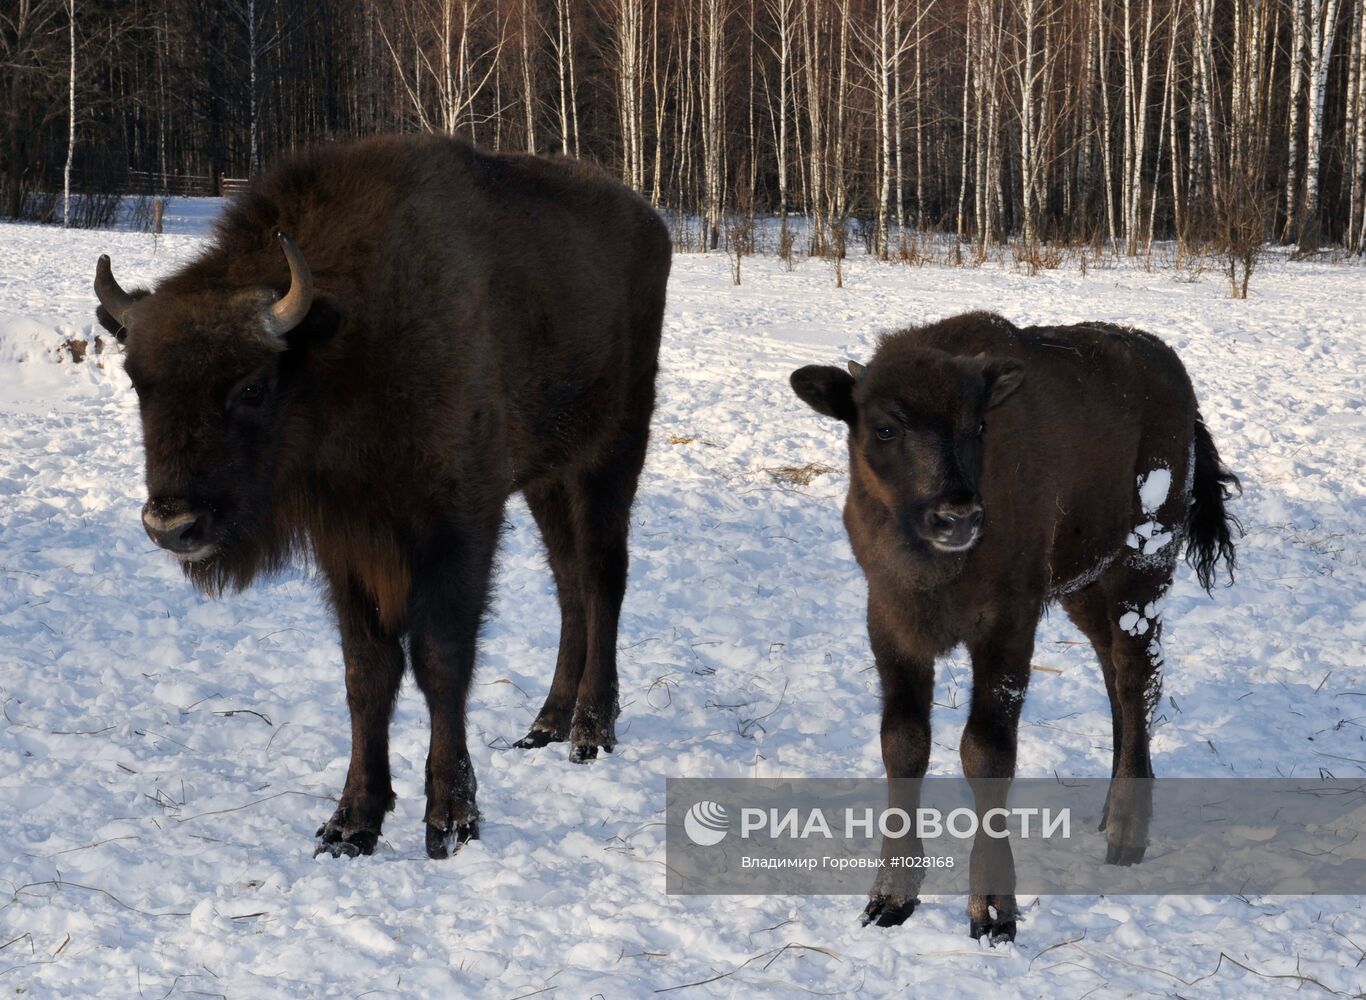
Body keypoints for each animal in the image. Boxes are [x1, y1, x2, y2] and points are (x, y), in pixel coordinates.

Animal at [94, 132, 672, 857]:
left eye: (252, 386)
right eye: (138, 382)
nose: (171, 525)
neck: (345, 344)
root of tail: (653, 224)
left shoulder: (458, 527)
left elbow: (440, 661)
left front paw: (451, 820)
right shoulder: (347, 543)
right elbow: (367, 673)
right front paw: (351, 822)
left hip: (611, 456)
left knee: (601, 579)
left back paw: (592, 731)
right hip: (548, 479)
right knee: (569, 586)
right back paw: (545, 724)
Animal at [786, 314, 1245, 945]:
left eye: (978, 423)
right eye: (884, 427)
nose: (958, 516)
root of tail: (1171, 372)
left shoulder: (1006, 628)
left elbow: (985, 751)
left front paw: (993, 910)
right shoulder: (891, 624)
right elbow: (903, 744)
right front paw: (890, 899)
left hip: (1144, 563)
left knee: (1136, 677)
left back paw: (1126, 835)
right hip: (1083, 586)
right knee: (1113, 674)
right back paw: (1110, 812)